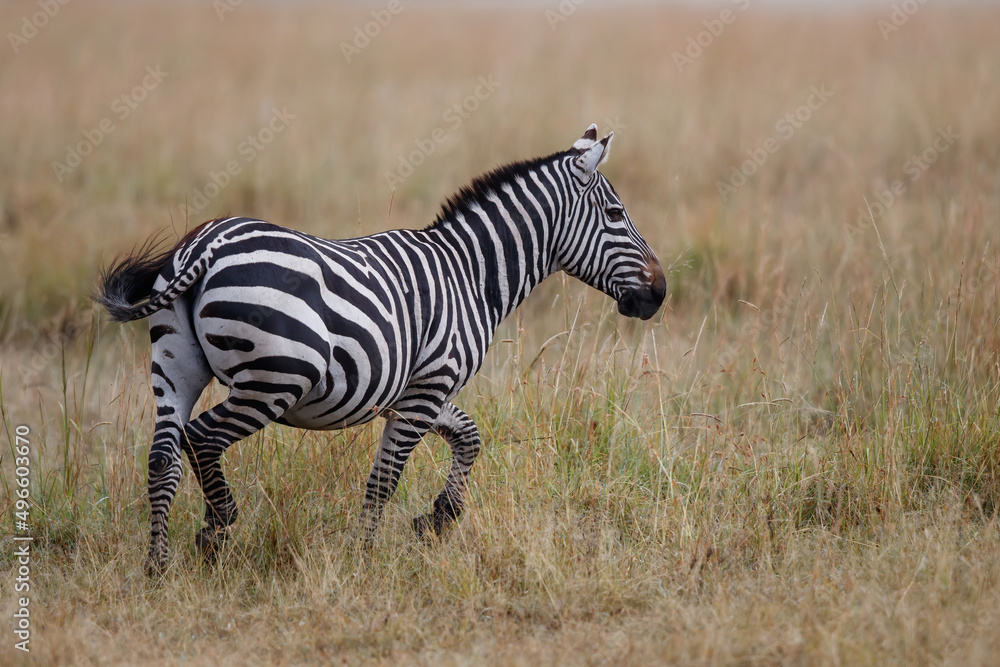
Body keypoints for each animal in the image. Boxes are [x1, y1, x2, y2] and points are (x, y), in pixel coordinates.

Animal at [95, 124, 666, 575]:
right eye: (616, 212)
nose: (659, 294)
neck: (470, 274)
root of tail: (204, 244)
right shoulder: (429, 386)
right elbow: (385, 479)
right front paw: (366, 558)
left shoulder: (415, 390)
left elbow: (469, 437)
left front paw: (436, 519)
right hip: (275, 380)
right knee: (201, 438)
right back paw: (216, 529)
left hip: (176, 368)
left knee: (163, 458)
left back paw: (157, 566)